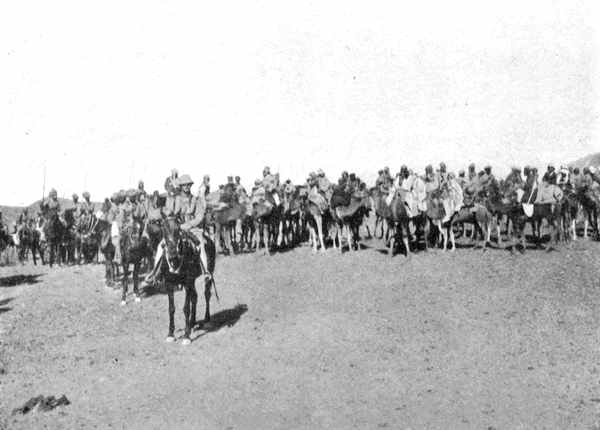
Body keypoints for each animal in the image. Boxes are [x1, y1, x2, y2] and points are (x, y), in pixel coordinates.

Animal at [159, 216, 217, 345]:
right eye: (163, 230)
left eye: (178, 230)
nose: (172, 255)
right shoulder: (169, 284)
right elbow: (171, 308)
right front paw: (170, 334)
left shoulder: (187, 282)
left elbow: (186, 308)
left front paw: (186, 336)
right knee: (194, 297)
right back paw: (192, 323)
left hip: (208, 273)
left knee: (207, 294)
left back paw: (207, 320)